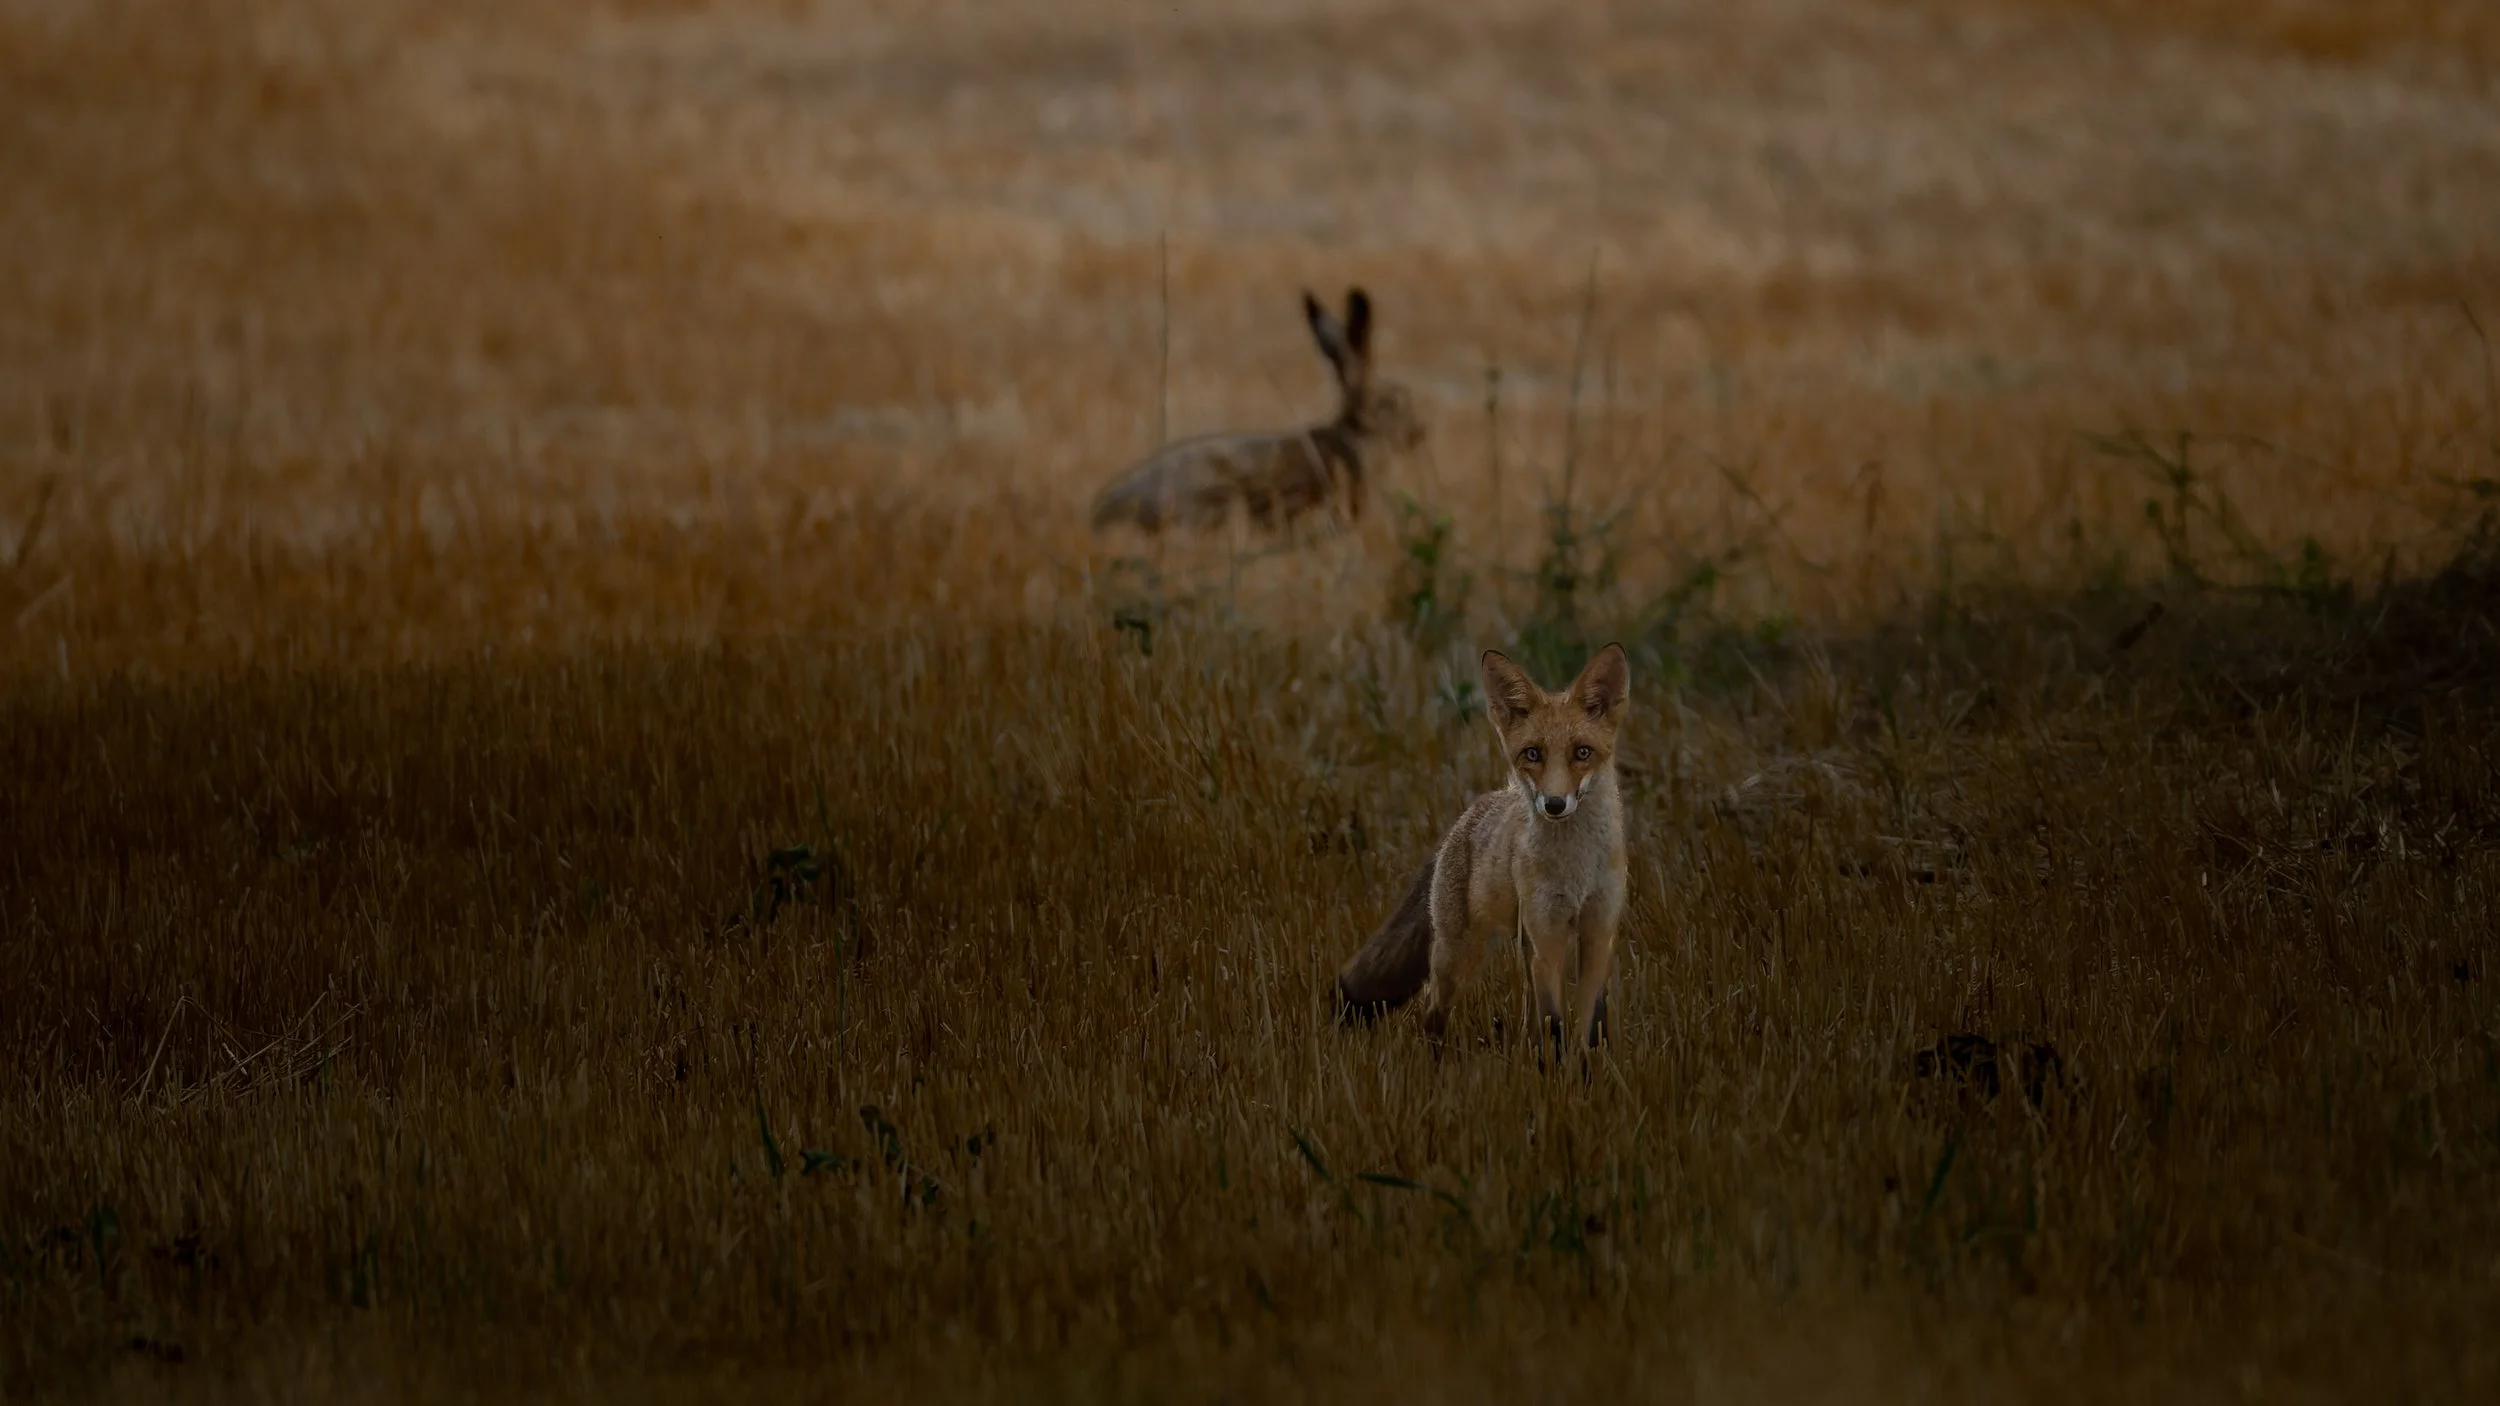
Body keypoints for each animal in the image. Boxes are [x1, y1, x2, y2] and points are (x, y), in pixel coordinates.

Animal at [1335, 644, 1631, 1059]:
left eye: (1582, 752)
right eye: (1533, 754)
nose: (1555, 804)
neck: (1577, 869)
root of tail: (1467, 816)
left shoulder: (1597, 932)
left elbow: (1590, 1029)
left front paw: (1590, 1073)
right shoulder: (1548, 938)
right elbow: (1556, 1027)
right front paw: (1559, 1074)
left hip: (1518, 948)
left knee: (1527, 1018)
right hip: (1458, 959)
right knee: (1430, 1014)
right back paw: (1435, 1065)